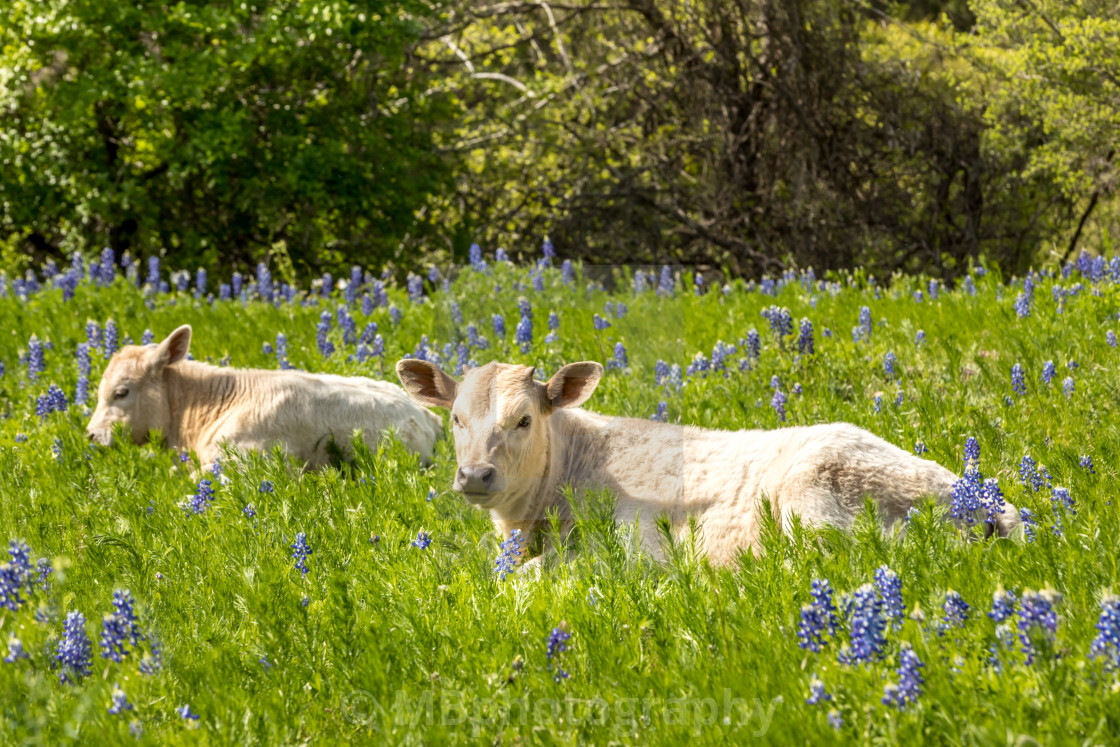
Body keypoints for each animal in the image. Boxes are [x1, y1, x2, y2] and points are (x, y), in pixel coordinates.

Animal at [398, 358, 1021, 566]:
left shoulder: (639, 546)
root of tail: (983, 499)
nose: (475, 475)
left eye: (524, 419)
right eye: (456, 419)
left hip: (816, 503)